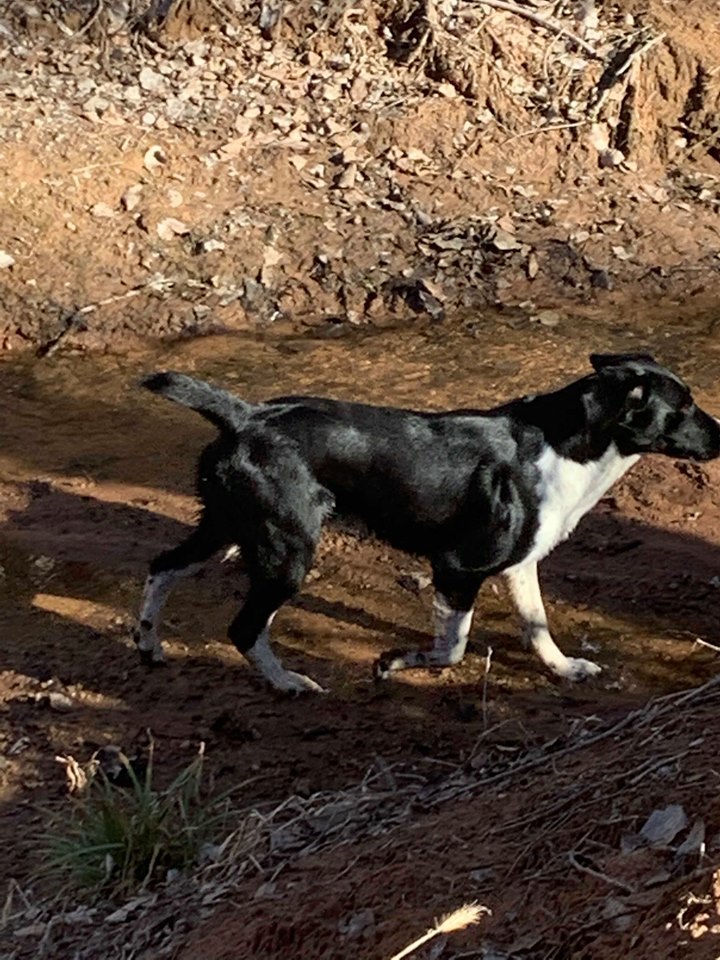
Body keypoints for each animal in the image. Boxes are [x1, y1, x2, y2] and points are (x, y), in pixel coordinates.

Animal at [135, 352, 720, 688]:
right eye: (684, 408)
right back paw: (288, 683)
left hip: (226, 528)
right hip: (286, 551)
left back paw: (148, 645)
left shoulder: (520, 566)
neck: (564, 444)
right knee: (244, 628)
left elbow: (537, 627)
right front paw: (393, 663)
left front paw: (565, 669)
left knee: (162, 567)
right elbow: (453, 647)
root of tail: (246, 415)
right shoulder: (457, 568)